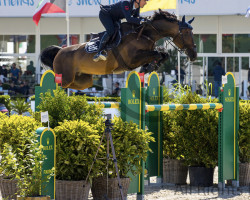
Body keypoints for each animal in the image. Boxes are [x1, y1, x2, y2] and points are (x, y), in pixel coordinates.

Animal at [40, 9, 197, 89]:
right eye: (186, 33)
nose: (194, 54)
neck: (145, 34)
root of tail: (60, 51)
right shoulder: (132, 59)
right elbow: (157, 54)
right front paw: (148, 67)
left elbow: (162, 54)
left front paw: (150, 67)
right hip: (66, 77)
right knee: (57, 84)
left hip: (83, 80)